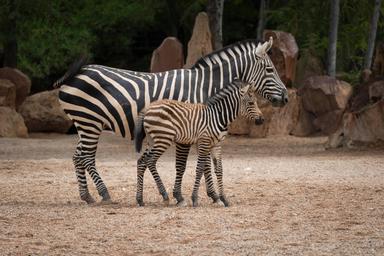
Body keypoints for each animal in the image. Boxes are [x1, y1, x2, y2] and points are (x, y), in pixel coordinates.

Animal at [134, 79, 262, 206]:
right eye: (251, 103)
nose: (262, 120)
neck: (218, 116)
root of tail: (148, 108)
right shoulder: (204, 142)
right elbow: (200, 168)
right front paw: (195, 198)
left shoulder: (216, 144)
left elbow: (219, 169)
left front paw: (223, 198)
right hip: (163, 139)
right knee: (150, 161)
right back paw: (165, 195)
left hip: (152, 140)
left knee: (141, 162)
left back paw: (140, 199)